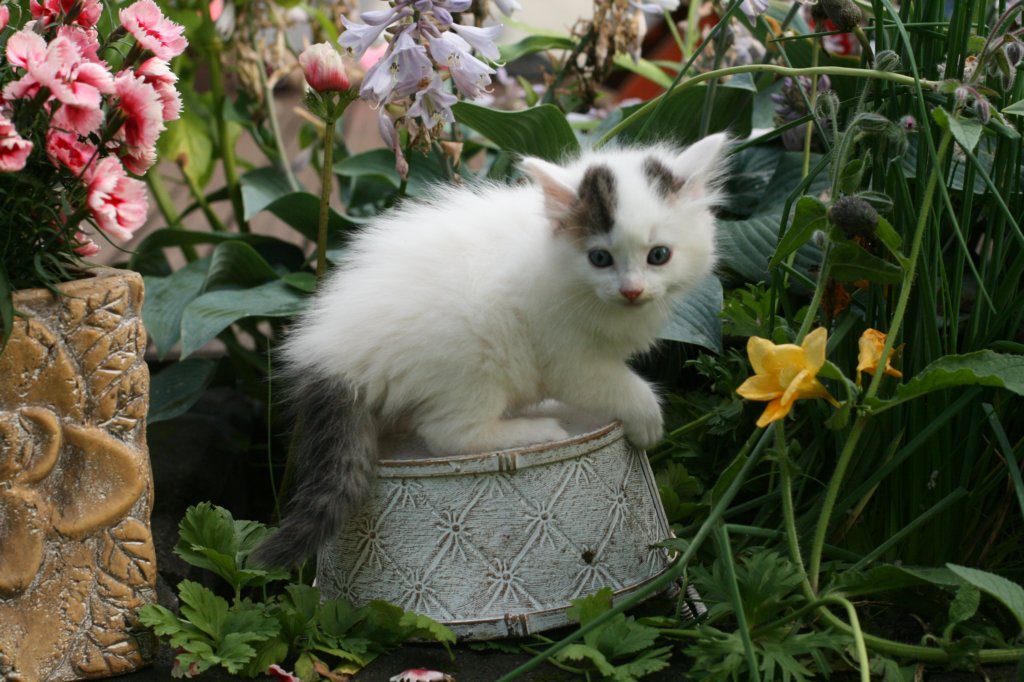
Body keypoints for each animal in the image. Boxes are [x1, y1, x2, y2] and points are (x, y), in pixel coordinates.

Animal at [253, 133, 730, 568]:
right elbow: (618, 385)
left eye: (659, 255)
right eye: (600, 259)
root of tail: (331, 352)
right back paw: (534, 430)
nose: (632, 291)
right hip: (472, 361)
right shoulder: (567, 355)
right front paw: (648, 421)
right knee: (447, 433)